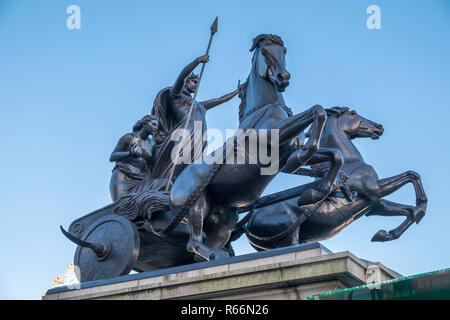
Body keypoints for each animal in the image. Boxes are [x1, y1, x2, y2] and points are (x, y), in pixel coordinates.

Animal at [167, 34, 342, 260]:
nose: (283, 78)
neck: (265, 108)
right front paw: (304, 161)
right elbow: (317, 112)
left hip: (226, 219)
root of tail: (172, 190)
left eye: (284, 50)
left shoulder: (288, 152)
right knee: (193, 243)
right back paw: (216, 255)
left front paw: (314, 194)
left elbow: (335, 154)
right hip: (197, 205)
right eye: (265, 52)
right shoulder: (274, 136)